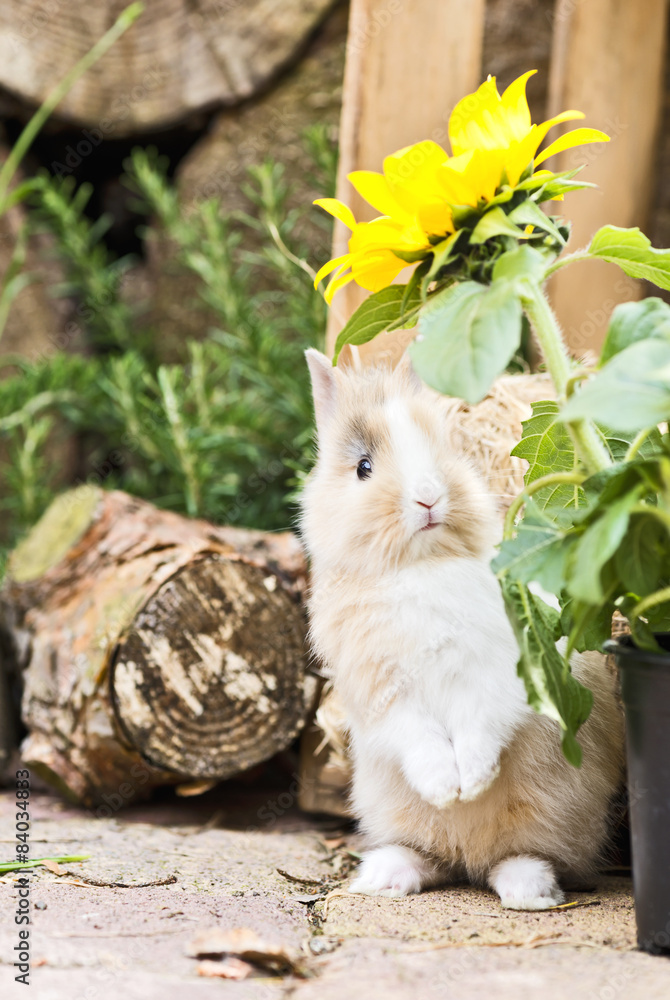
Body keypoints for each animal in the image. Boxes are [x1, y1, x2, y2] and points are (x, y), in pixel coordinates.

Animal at [299, 349, 624, 910]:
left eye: (441, 449)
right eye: (363, 468)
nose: (429, 498)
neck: (421, 567)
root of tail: (469, 860)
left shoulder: (499, 673)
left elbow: (481, 722)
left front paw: (470, 783)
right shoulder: (383, 690)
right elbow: (418, 737)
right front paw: (446, 789)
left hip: (556, 811)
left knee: (526, 857)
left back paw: (529, 890)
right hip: (392, 808)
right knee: (434, 860)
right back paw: (389, 875)